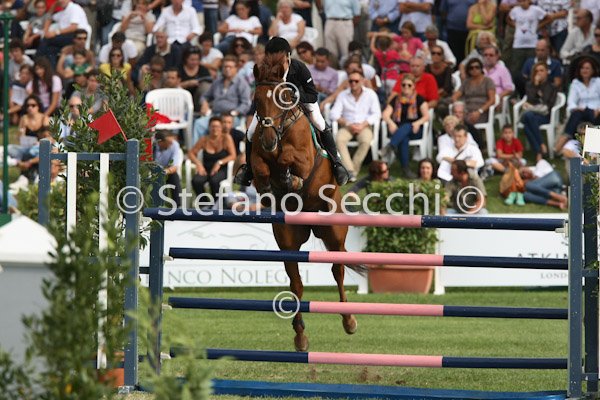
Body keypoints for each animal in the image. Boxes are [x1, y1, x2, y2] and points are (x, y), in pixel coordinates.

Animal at [251, 52, 361, 352]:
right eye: (256, 100)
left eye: (283, 98)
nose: (268, 140)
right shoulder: (258, 158)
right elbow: (261, 168)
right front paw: (272, 183)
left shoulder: (304, 158)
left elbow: (290, 160)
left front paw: (291, 178)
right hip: (287, 239)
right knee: (296, 284)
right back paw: (300, 336)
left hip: (334, 233)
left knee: (338, 270)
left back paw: (349, 321)